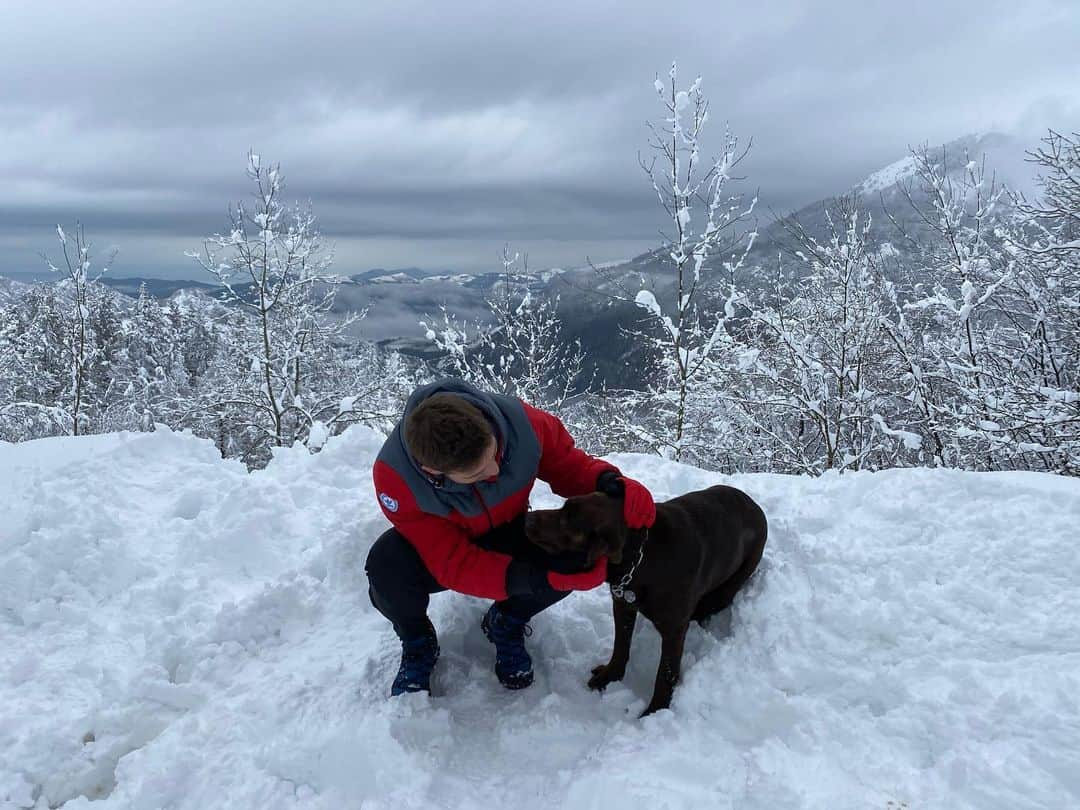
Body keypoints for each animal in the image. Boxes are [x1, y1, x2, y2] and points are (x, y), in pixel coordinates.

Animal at [524, 481, 768, 717]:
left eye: (568, 517)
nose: (528, 517)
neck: (640, 557)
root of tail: (755, 506)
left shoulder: (674, 629)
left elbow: (665, 673)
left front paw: (655, 710)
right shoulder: (623, 604)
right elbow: (620, 646)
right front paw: (610, 676)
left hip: (737, 576)